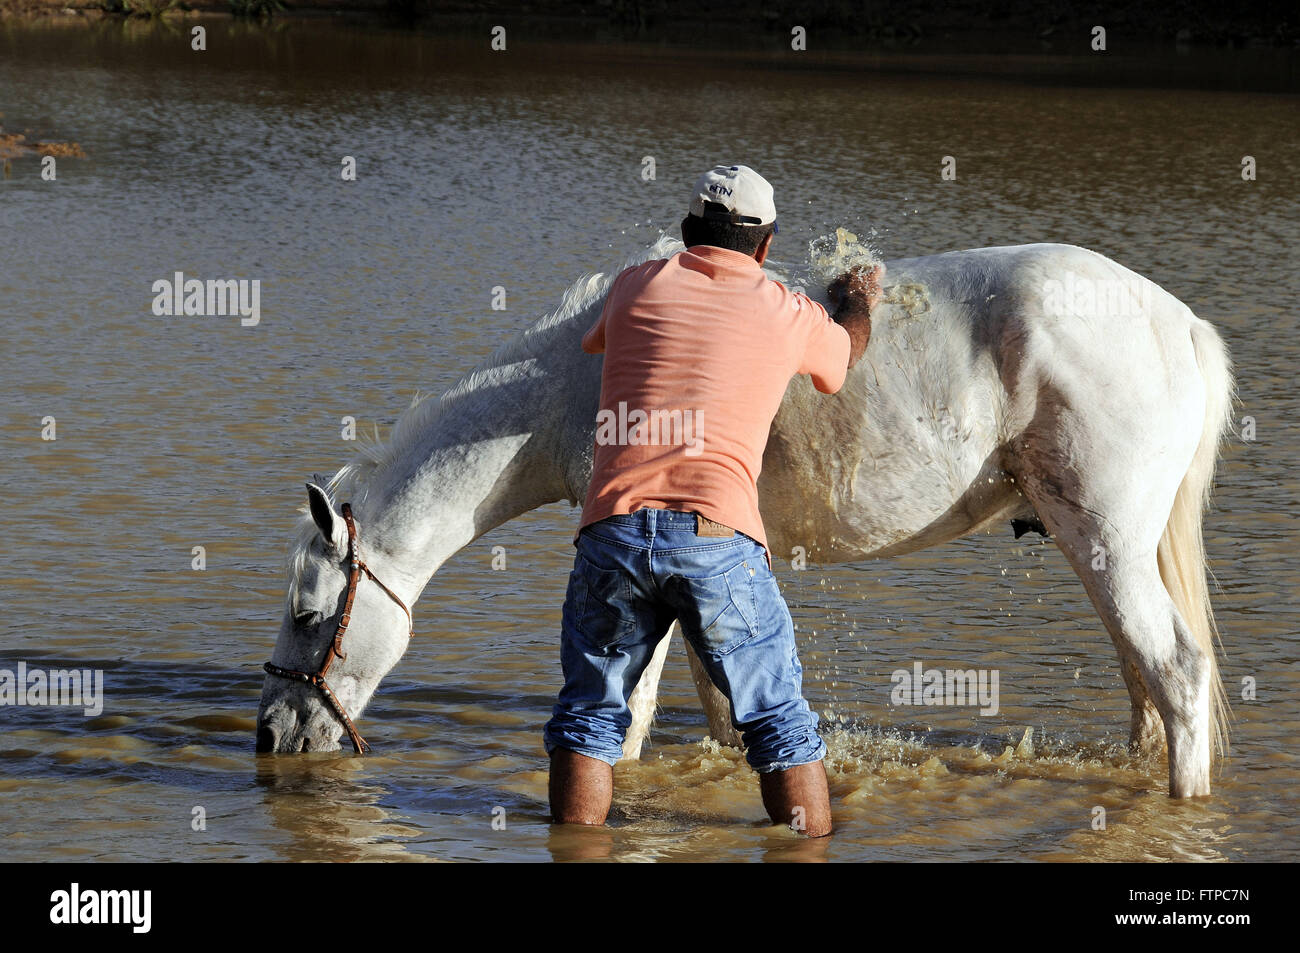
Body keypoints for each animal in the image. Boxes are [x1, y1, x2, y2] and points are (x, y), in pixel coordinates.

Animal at [256, 236, 1237, 795]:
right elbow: (720, 709)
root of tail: (1181, 323)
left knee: (1178, 672)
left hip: (1105, 544)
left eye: (310, 615)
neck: (576, 379)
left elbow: (633, 717)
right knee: (1147, 687)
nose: (272, 733)